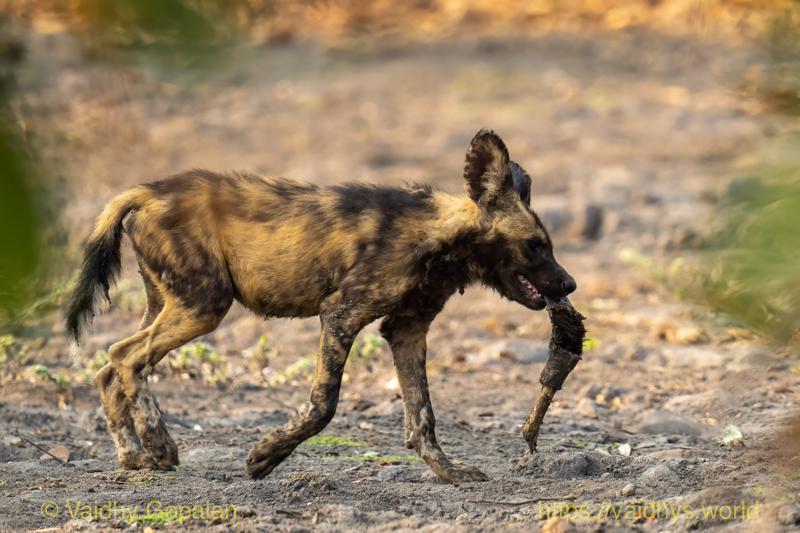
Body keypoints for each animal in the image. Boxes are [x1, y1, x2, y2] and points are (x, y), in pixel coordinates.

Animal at [65, 129, 576, 483]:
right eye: (535, 245)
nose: (569, 283)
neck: (441, 237)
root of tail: (150, 189)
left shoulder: (407, 328)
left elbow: (422, 417)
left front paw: (449, 472)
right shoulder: (341, 314)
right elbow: (323, 405)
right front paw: (264, 457)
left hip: (171, 304)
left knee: (110, 366)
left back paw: (135, 457)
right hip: (205, 306)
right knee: (126, 357)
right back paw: (159, 446)